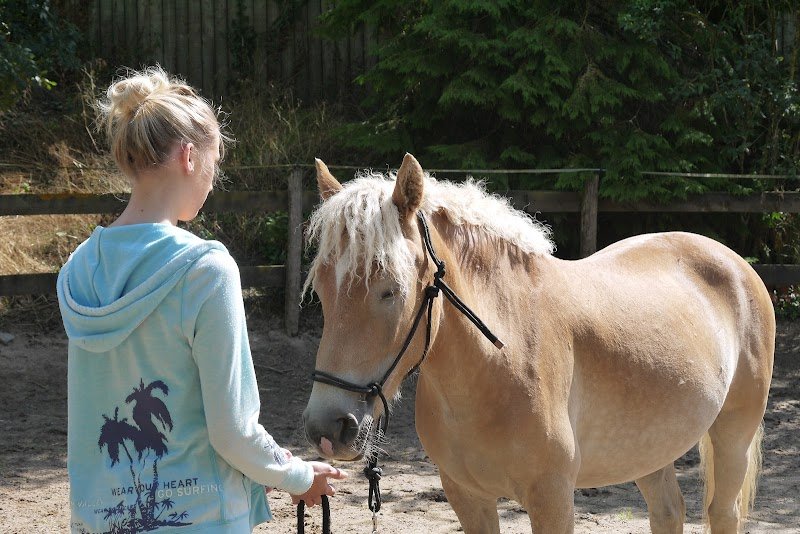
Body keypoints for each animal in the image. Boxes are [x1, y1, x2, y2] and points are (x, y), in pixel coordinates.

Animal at [301, 153, 775, 533]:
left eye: (391, 291)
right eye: (322, 290)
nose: (328, 428)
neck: (499, 360)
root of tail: (734, 262)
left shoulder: (551, 498)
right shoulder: (468, 498)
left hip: (733, 433)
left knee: (722, 513)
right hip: (650, 447)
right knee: (669, 511)